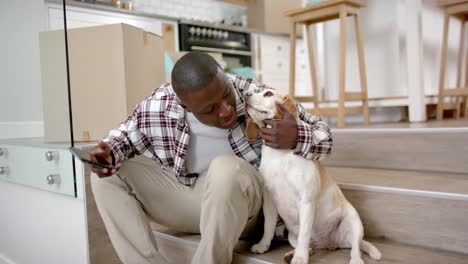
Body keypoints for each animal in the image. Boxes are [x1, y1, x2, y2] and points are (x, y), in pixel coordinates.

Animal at [243, 89, 382, 264]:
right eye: (254, 90)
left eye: (268, 93)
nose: (245, 94)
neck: (280, 155)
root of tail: (331, 243)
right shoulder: (269, 202)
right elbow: (268, 227)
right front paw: (263, 245)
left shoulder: (306, 201)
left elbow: (304, 234)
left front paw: (300, 258)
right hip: (292, 237)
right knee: (310, 247)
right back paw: (293, 253)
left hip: (354, 222)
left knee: (355, 248)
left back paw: (355, 259)